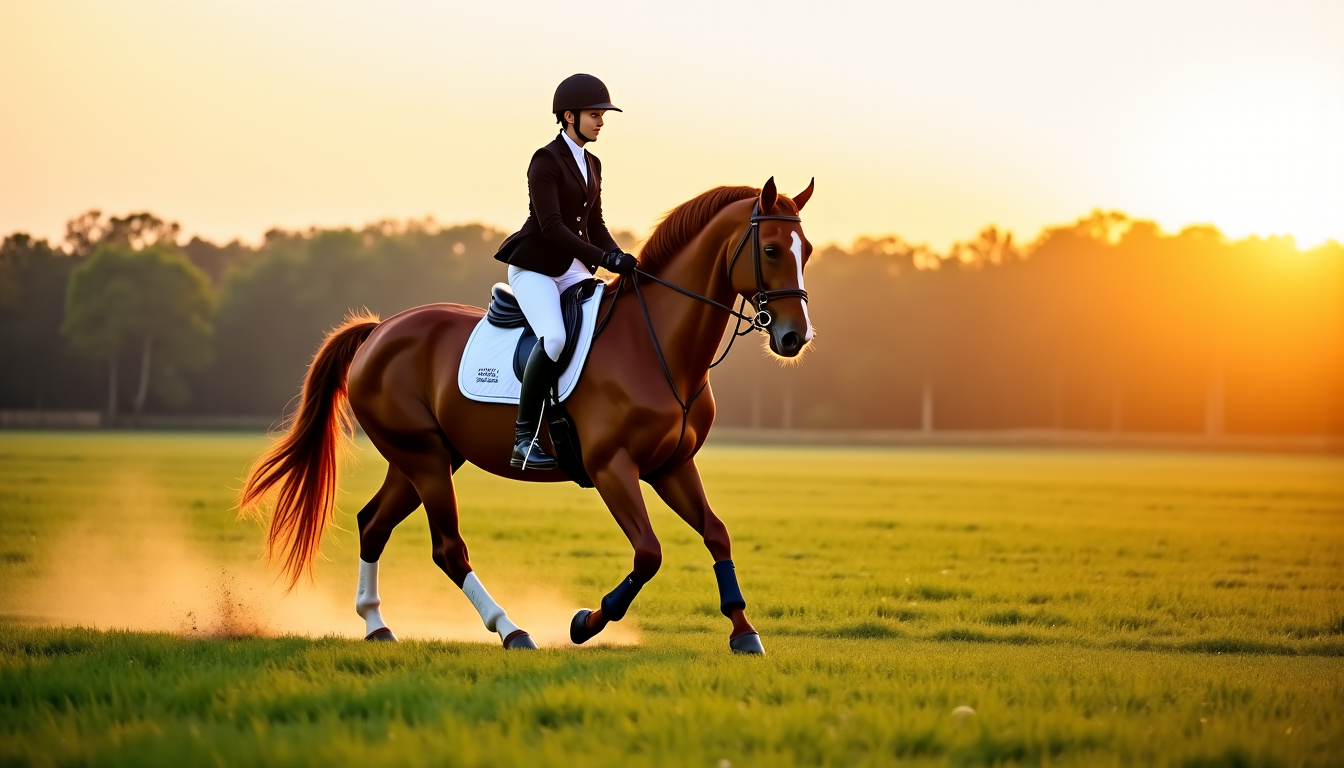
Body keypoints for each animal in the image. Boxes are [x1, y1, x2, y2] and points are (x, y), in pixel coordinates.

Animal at [239, 177, 816, 653]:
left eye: (806, 250)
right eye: (770, 249)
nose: (795, 337)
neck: (655, 347)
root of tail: (380, 330)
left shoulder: (672, 465)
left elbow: (716, 533)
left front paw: (744, 633)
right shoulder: (612, 467)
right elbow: (649, 553)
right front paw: (586, 622)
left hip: (424, 459)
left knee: (373, 524)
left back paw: (378, 626)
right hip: (423, 458)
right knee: (448, 549)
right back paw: (511, 630)